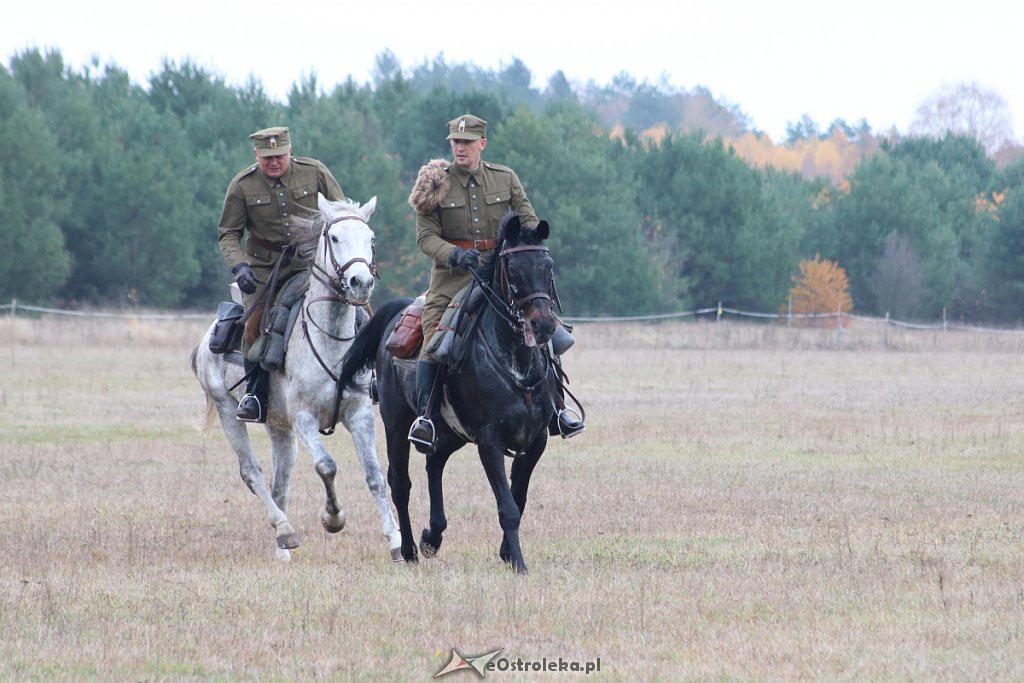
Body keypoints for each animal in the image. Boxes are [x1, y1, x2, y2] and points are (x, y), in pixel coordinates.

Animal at [337, 211, 561, 573]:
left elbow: (519, 498)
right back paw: (409, 549)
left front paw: (508, 554)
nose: (542, 325)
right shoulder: (489, 442)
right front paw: (518, 561)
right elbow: (508, 507)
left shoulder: (534, 441)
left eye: (548, 266)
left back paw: (433, 535)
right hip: (396, 425)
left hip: (451, 431)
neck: (514, 361)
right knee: (400, 483)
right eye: (513, 271)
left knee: (435, 462)